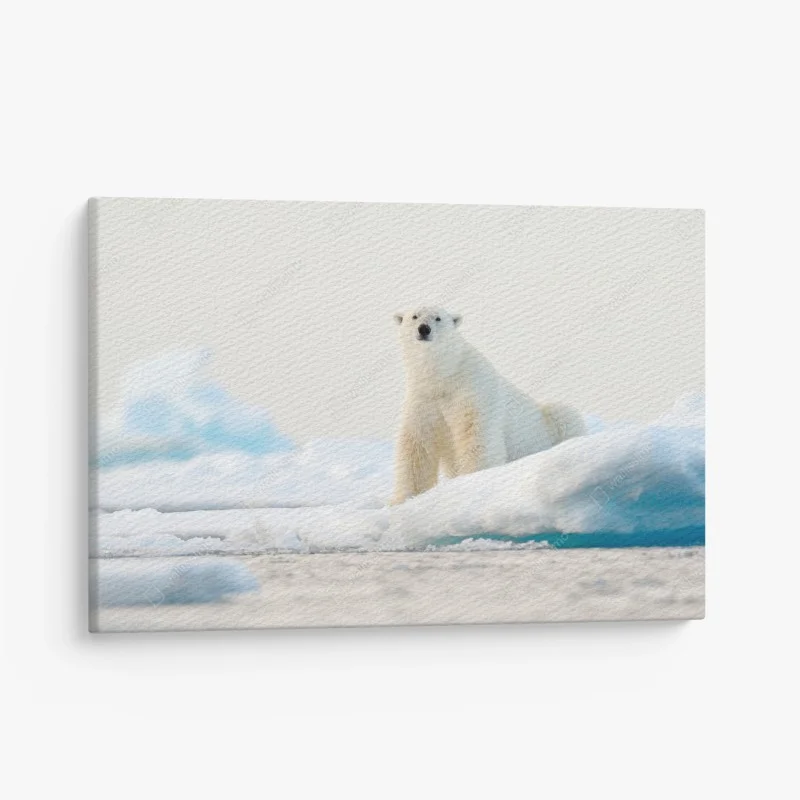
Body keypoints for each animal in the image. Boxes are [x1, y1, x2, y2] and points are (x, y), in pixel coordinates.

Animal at [390, 306, 586, 504]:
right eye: (414, 316)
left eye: (438, 318)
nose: (424, 329)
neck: (444, 376)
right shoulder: (423, 400)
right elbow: (417, 446)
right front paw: (403, 499)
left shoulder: (473, 390)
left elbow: (476, 434)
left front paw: (475, 480)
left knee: (564, 414)